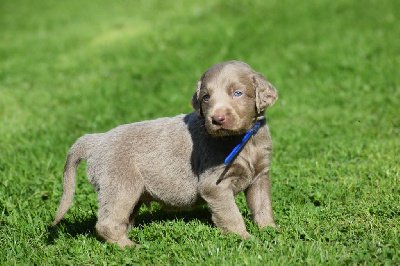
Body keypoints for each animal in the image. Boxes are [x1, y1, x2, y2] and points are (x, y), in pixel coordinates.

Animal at [52, 59, 278, 247]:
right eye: (206, 97)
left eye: (237, 93)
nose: (217, 119)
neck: (243, 140)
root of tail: (98, 139)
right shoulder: (215, 184)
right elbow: (231, 213)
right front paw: (245, 238)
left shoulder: (260, 175)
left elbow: (262, 205)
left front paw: (271, 231)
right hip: (120, 184)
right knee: (107, 223)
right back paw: (131, 247)